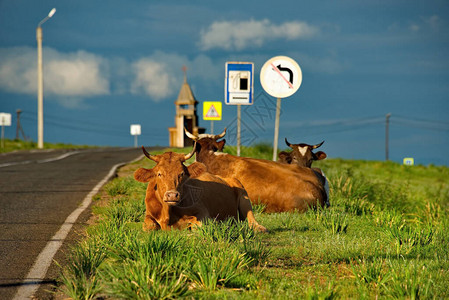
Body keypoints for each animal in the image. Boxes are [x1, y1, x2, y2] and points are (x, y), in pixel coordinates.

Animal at [133, 145, 266, 232]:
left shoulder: (203, 212)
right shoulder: (148, 215)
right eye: (159, 174)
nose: (172, 195)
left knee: (251, 218)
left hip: (244, 196)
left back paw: (259, 228)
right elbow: (149, 226)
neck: (168, 213)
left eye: (182, 173)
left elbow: (197, 226)